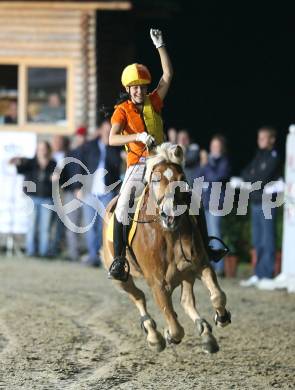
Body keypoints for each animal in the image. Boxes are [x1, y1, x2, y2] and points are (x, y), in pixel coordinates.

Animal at [102, 142, 231, 354]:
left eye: (182, 179)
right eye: (155, 179)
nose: (170, 215)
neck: (168, 234)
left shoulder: (201, 265)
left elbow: (217, 296)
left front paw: (221, 317)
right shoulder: (158, 284)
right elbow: (175, 327)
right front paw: (168, 334)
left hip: (186, 274)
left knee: (186, 301)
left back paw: (206, 334)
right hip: (121, 278)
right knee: (138, 297)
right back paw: (154, 337)